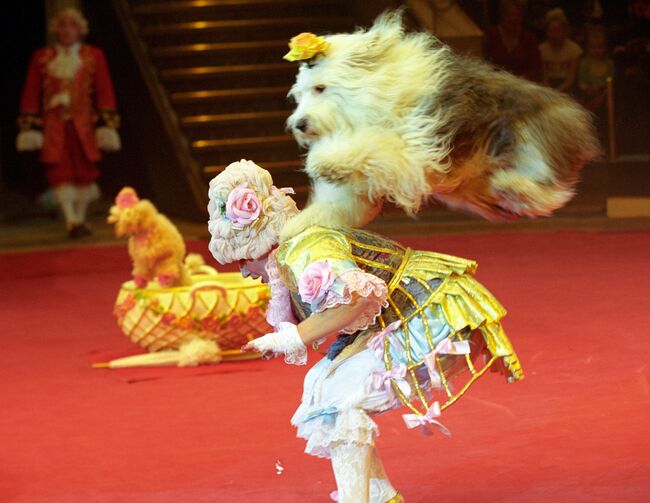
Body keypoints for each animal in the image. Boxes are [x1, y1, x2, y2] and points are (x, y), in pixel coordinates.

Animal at [280, 11, 596, 240]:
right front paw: (290, 230)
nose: (300, 124)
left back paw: (513, 186)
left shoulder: (418, 147)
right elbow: (337, 205)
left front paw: (324, 161)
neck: (377, 94)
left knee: (551, 193)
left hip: (532, 142)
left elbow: (376, 144)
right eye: (299, 95)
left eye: (320, 88)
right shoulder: (357, 191)